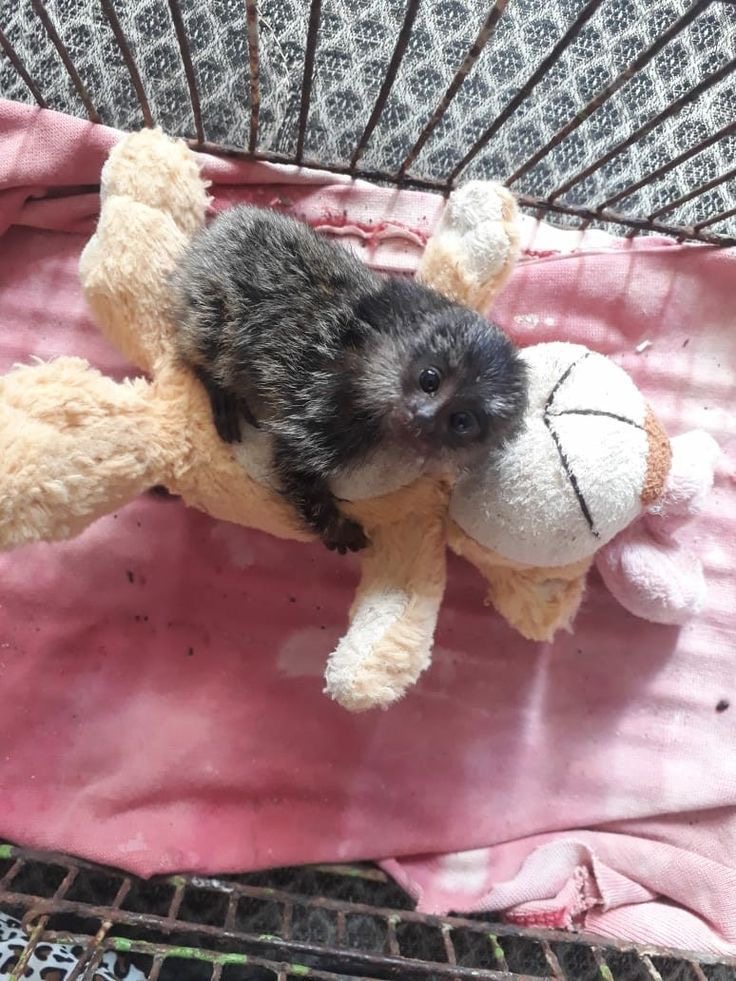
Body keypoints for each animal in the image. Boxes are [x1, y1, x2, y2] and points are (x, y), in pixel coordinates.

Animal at [169, 205, 527, 554]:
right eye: (429, 379)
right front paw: (337, 529)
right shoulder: (323, 403)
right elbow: (294, 460)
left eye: (461, 421)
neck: (370, 364)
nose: (422, 415)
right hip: (210, 299)